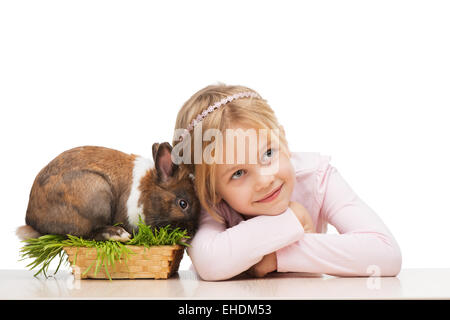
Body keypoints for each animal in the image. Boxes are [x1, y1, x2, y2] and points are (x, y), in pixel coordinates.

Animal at [16, 141, 199, 241]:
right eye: (183, 204)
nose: (193, 232)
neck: (148, 190)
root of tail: (31, 219)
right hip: (97, 195)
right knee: (82, 234)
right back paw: (118, 234)